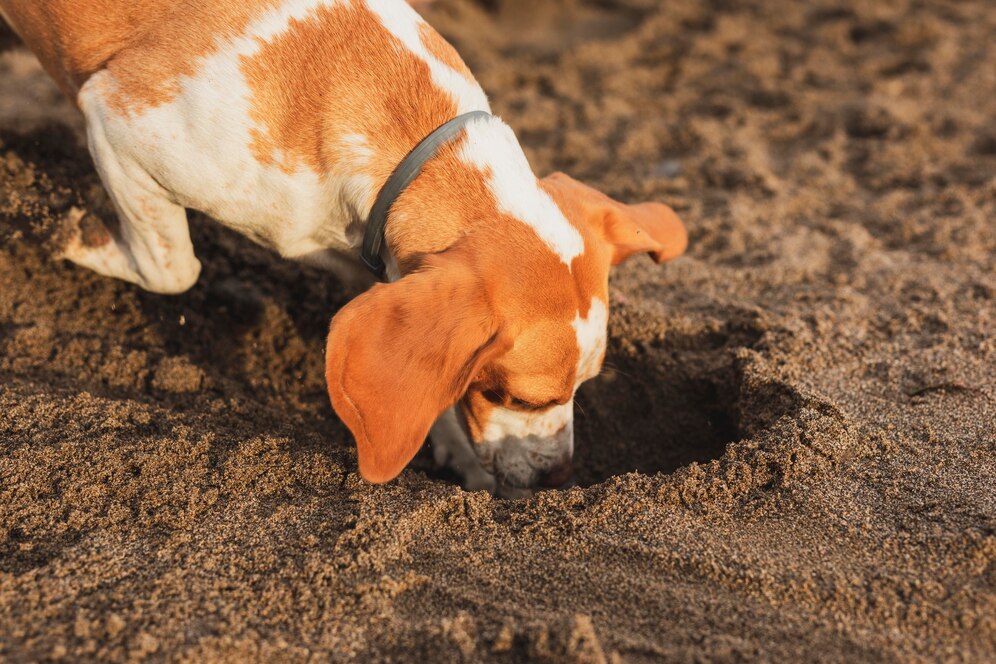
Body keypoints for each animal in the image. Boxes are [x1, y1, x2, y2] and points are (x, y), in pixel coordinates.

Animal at [0, 0, 684, 496]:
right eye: (513, 397)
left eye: (585, 385)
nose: (558, 477)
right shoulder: (114, 120)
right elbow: (173, 268)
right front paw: (66, 228)